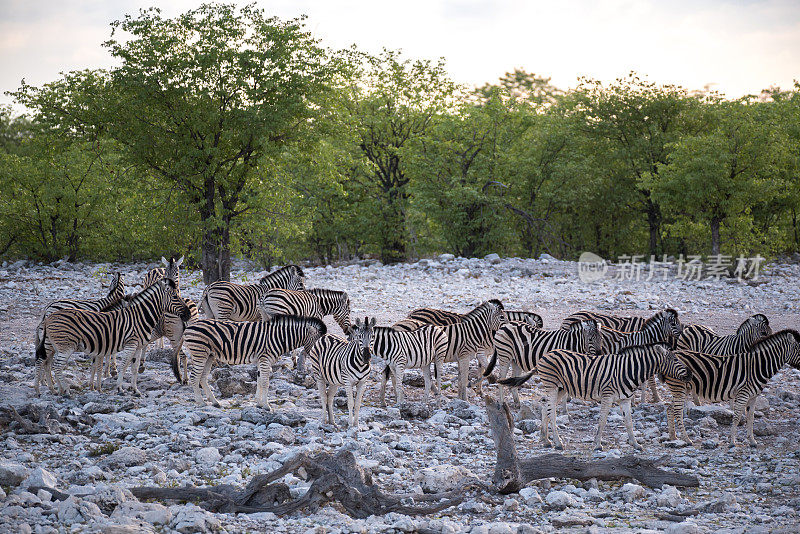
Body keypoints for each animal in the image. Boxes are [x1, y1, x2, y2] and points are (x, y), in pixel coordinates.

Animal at [36, 280, 191, 398]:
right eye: (175, 297)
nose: (188, 314)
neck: (139, 317)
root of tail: (48, 316)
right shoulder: (130, 344)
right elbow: (123, 365)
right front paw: (119, 388)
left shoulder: (138, 346)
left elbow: (134, 369)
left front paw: (136, 390)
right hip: (64, 347)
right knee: (55, 365)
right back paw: (63, 390)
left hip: (53, 345)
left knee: (46, 363)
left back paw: (52, 389)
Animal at [183, 314, 326, 410]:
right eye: (318, 342)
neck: (279, 337)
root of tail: (188, 327)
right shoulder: (265, 358)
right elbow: (265, 382)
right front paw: (266, 405)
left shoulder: (260, 360)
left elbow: (259, 380)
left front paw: (258, 403)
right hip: (199, 353)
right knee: (194, 377)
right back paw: (200, 402)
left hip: (209, 356)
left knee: (202, 377)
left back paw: (214, 402)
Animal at [504, 346, 692, 454]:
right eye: (675, 359)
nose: (689, 375)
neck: (629, 371)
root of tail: (545, 356)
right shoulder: (607, 396)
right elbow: (602, 421)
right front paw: (597, 445)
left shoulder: (625, 399)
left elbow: (629, 423)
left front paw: (635, 444)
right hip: (551, 385)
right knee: (552, 413)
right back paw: (557, 443)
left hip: (560, 388)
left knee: (545, 408)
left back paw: (545, 440)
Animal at [664, 330, 800, 448]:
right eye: (799, 348)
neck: (757, 367)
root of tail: (674, 353)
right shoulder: (743, 394)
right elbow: (737, 417)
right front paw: (732, 442)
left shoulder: (753, 396)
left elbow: (751, 417)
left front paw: (752, 441)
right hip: (679, 388)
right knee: (677, 411)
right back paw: (687, 439)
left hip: (682, 389)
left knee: (670, 408)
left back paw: (673, 437)